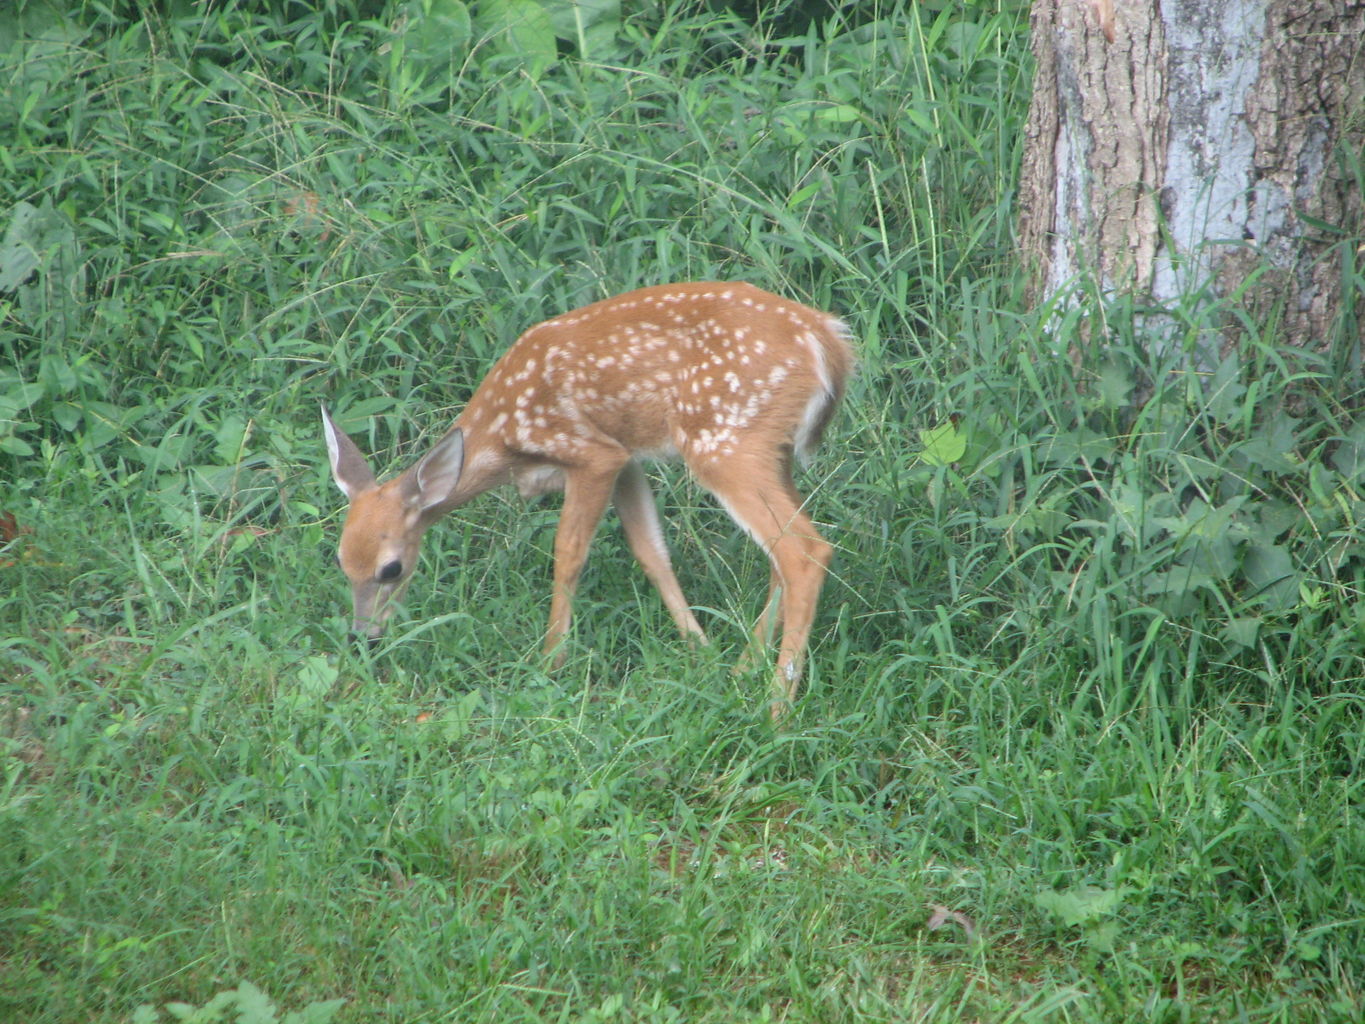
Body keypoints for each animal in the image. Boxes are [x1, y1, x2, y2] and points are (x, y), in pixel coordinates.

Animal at [320, 281, 851, 720]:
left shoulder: (591, 454)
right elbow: (650, 551)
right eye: (341, 562)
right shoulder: (625, 458)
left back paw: (776, 708)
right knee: (782, 552)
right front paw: (699, 649)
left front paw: (551, 658)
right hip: (770, 451)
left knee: (804, 551)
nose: (363, 637)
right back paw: (744, 669)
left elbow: (569, 552)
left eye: (392, 569)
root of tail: (828, 342)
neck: (504, 436)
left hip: (724, 441)